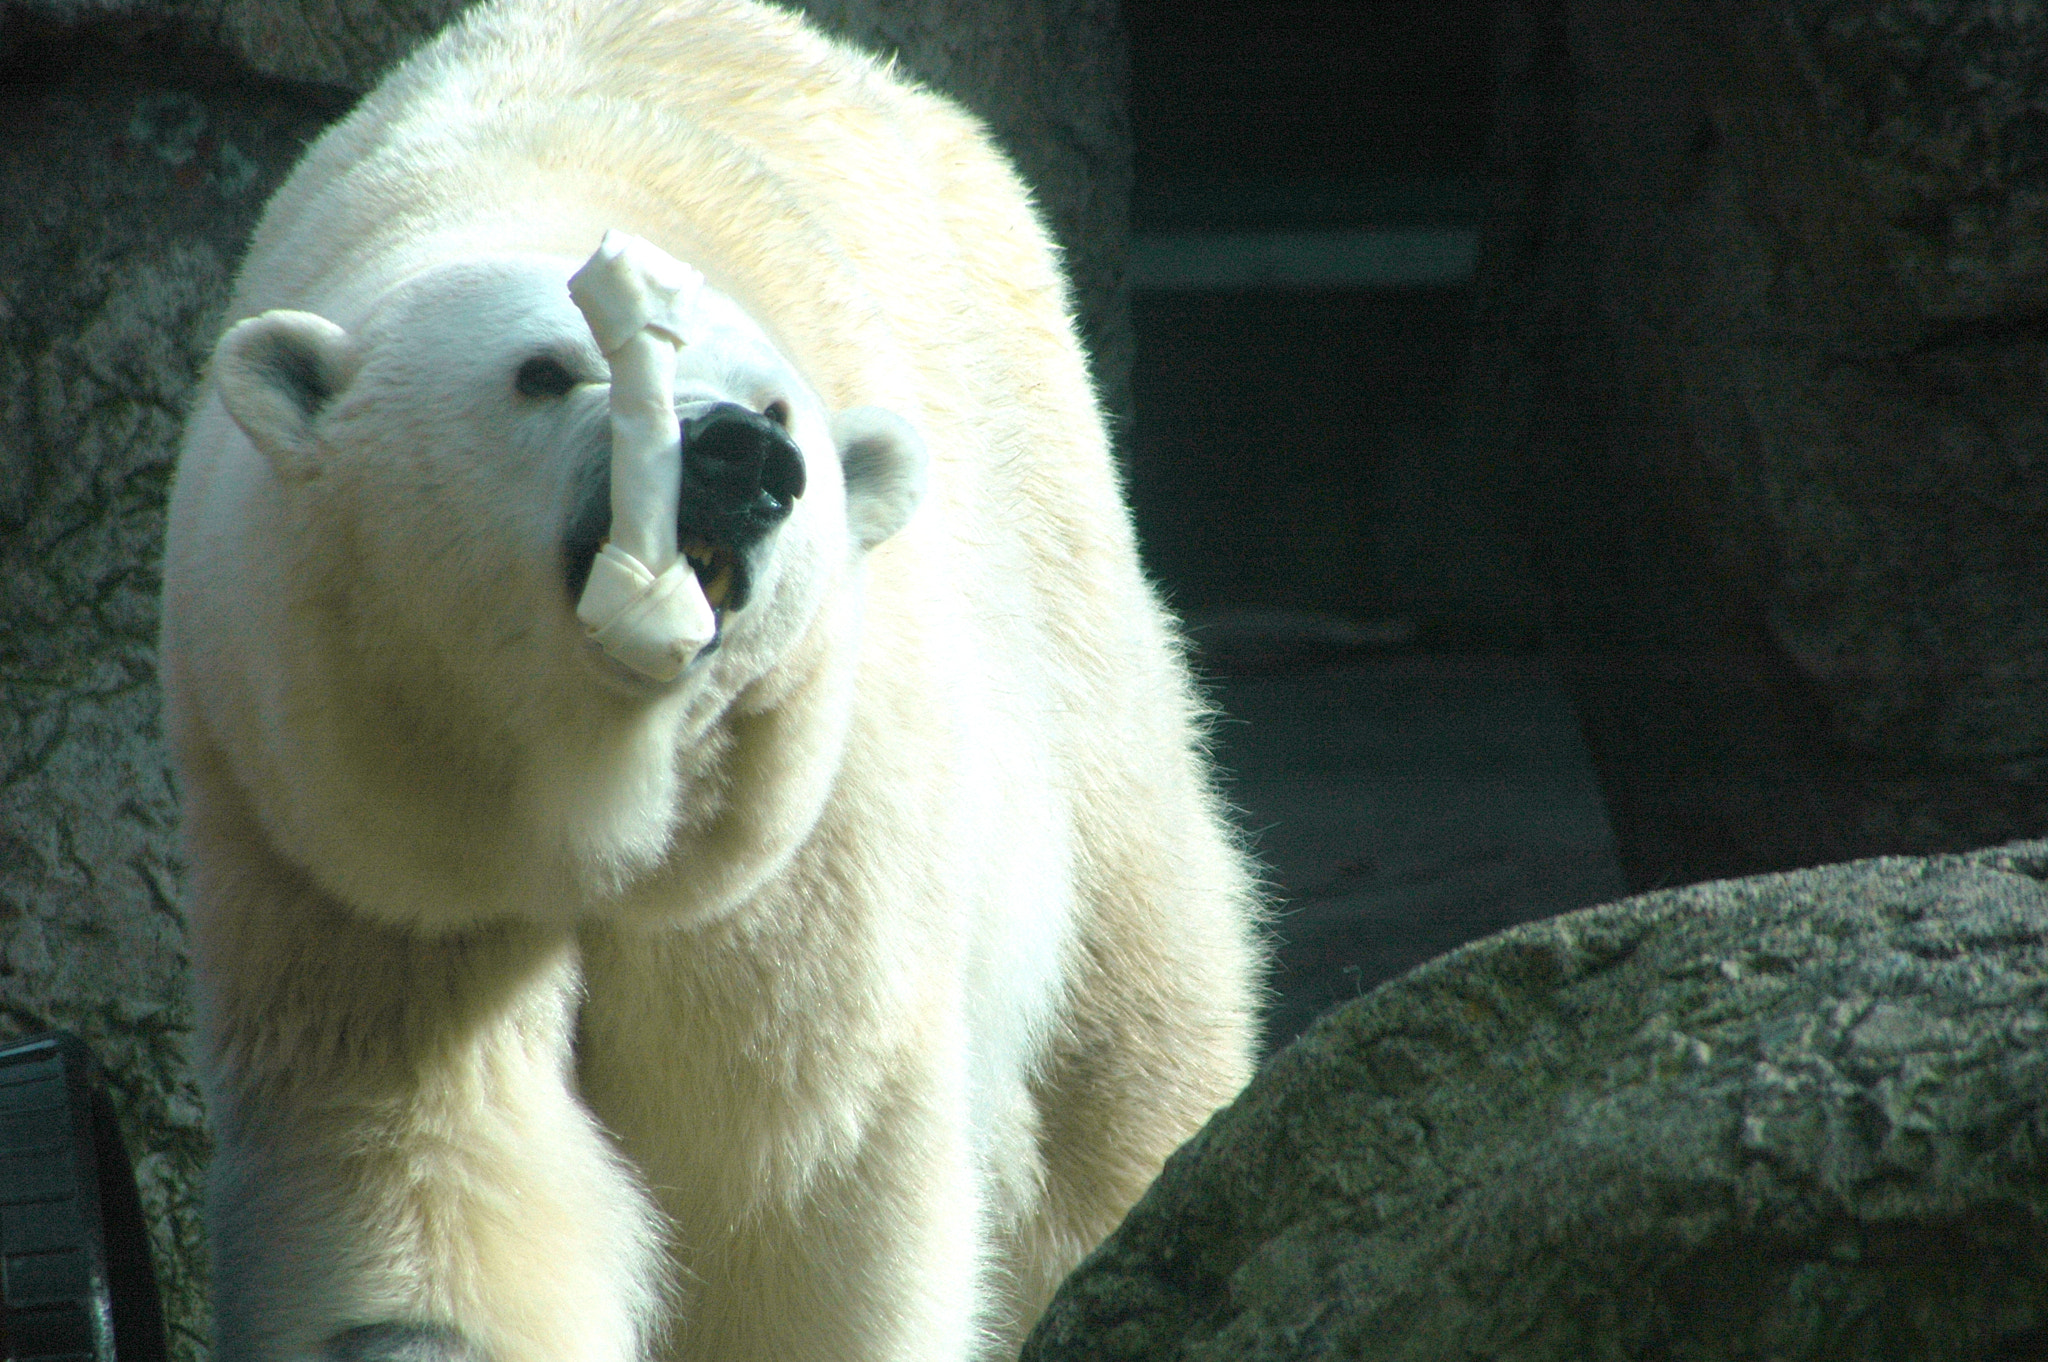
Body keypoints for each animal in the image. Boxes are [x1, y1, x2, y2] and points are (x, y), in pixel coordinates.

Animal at [163, 2, 1261, 1359]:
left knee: (1118, 1025)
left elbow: (787, 1165)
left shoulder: (791, 841)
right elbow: (421, 1137)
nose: (742, 459)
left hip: (1059, 592)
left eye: (773, 404)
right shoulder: (362, 847)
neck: (587, 788)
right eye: (544, 370)